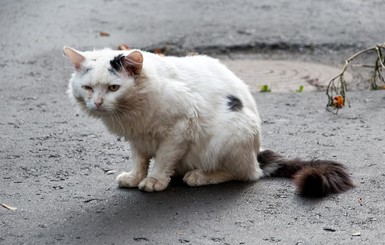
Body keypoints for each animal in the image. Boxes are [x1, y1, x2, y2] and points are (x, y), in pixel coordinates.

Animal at [63, 46, 354, 197]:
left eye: (113, 88)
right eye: (88, 88)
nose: (97, 102)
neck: (131, 113)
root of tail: (256, 153)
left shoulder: (180, 128)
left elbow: (163, 158)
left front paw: (155, 180)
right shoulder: (139, 137)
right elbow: (140, 159)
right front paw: (136, 177)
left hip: (231, 135)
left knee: (247, 174)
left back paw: (199, 176)